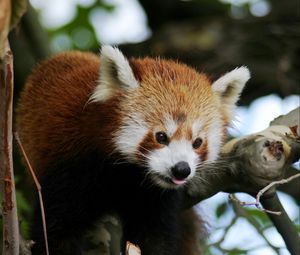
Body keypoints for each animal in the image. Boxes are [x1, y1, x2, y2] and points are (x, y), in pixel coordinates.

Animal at [17, 46, 251, 255]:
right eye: (161, 137)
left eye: (197, 142)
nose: (181, 169)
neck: (126, 174)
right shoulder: (70, 168)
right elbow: (56, 231)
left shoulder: (154, 198)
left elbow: (154, 239)